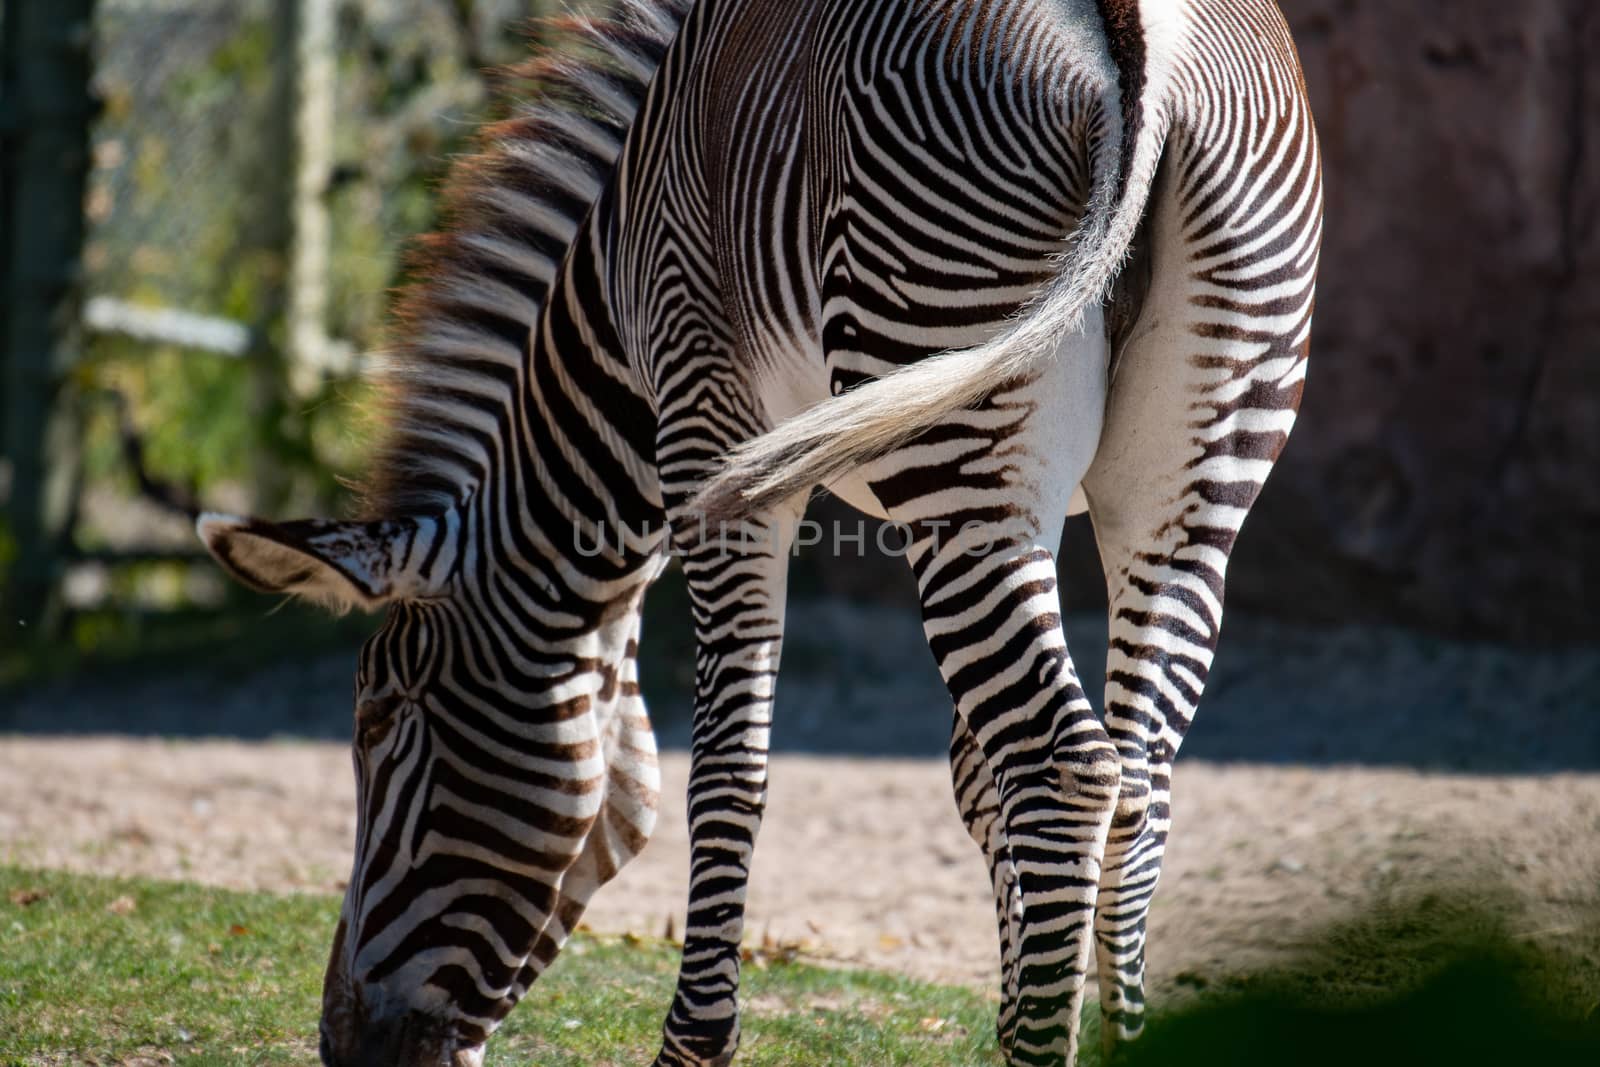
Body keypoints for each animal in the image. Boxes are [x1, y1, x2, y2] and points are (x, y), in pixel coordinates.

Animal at [196, 2, 1324, 1067]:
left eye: (380, 722)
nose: (344, 1044)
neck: (617, 289)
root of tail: (1141, 30)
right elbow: (973, 779)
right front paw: (1012, 1010)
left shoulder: (710, 436)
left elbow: (729, 766)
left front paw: (693, 1044)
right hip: (1184, 481)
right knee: (1138, 779)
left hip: (950, 432)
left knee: (1061, 767)